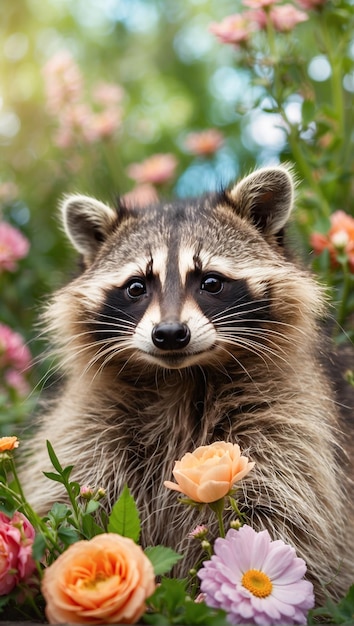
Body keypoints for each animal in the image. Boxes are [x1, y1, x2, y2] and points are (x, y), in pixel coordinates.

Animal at [21, 165, 352, 600]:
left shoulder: (287, 416)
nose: (170, 334)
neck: (180, 377)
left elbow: (288, 516)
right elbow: (72, 489)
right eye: (136, 286)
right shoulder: (93, 419)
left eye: (211, 282)